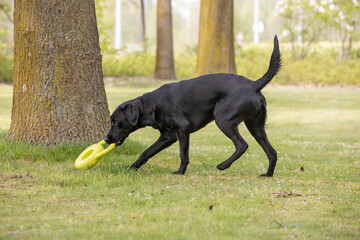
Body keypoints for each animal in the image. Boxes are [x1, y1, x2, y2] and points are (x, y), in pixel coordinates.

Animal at [104, 35, 282, 177]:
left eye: (115, 121)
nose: (106, 139)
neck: (152, 104)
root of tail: (253, 84)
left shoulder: (182, 128)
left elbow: (183, 154)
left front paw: (180, 172)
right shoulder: (168, 136)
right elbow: (146, 152)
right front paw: (131, 167)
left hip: (224, 120)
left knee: (242, 145)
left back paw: (223, 165)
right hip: (256, 127)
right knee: (272, 152)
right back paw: (267, 174)